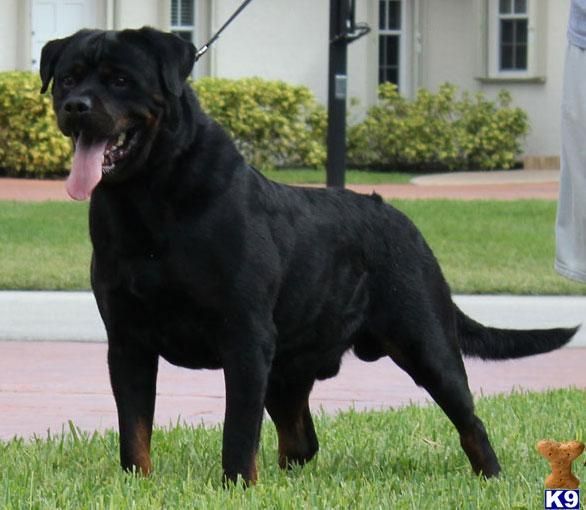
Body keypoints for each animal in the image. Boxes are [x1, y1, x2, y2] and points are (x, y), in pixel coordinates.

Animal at [41, 28, 576, 486]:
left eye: (120, 80)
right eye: (67, 77)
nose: (75, 104)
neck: (149, 198)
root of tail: (404, 221)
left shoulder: (245, 337)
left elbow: (238, 433)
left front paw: (236, 486)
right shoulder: (127, 340)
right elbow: (134, 430)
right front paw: (140, 484)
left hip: (425, 341)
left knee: (469, 419)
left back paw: (492, 476)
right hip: (289, 367)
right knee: (301, 441)